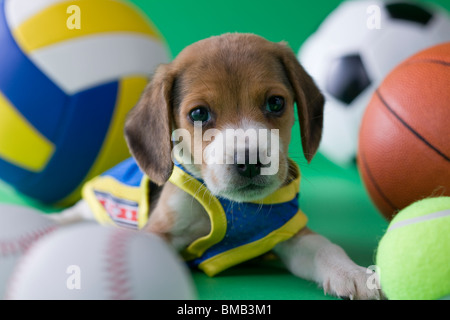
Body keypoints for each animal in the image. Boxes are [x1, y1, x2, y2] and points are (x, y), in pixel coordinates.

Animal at [55, 33, 380, 300]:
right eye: (199, 113)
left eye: (276, 103)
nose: (249, 162)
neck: (232, 206)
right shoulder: (160, 229)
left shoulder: (287, 232)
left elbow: (325, 247)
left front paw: (352, 273)